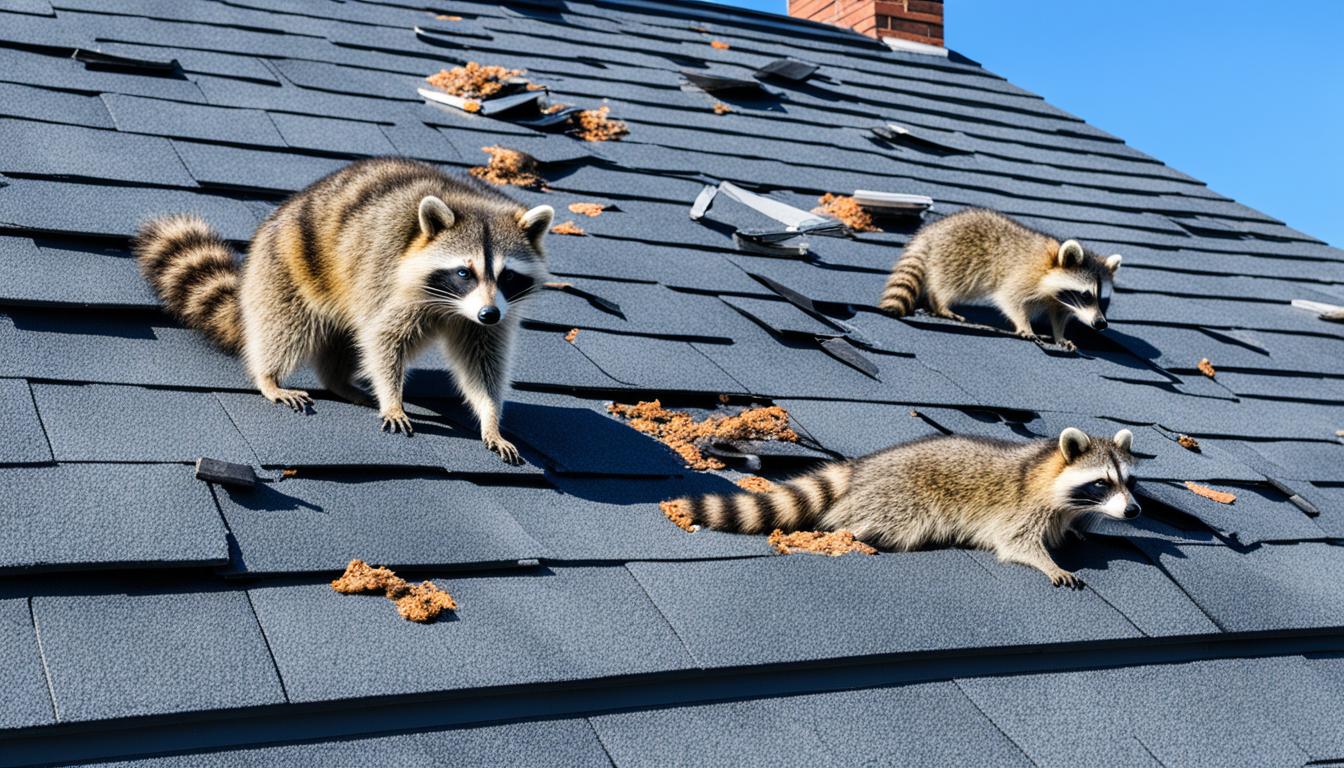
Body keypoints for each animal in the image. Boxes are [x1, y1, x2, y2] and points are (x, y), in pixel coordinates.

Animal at [133, 153, 553, 459]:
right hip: (287, 268)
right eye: (464, 272)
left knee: (349, 338)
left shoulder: (495, 312)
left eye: (507, 276)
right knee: (287, 328)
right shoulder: (391, 280)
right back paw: (269, 377)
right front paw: (393, 399)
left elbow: (483, 361)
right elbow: (384, 339)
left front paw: (490, 417)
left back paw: (338, 381)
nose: (488, 314)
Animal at [669, 427, 1134, 589]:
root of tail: (864, 467)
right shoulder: (1022, 506)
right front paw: (1049, 563)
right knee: (894, 523)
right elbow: (1016, 543)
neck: (1047, 467)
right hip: (902, 498)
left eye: (1127, 482)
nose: (1133, 512)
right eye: (1101, 483)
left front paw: (1073, 531)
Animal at [881, 209, 1123, 355]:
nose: (1101, 323)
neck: (1051, 266)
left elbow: (1058, 316)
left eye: (1103, 300)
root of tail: (933, 230)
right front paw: (1025, 325)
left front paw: (1059, 335)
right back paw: (940, 303)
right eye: (1086, 295)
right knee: (949, 282)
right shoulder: (1025, 276)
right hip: (957, 257)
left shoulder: (1059, 300)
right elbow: (1010, 298)